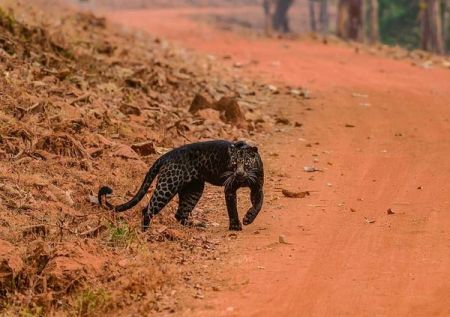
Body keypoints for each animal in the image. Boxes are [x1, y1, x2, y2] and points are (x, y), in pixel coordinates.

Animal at [96, 139, 262, 231]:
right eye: (233, 164)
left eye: (246, 163)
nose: (239, 174)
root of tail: (166, 155)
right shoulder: (229, 189)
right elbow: (232, 208)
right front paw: (236, 226)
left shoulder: (257, 187)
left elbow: (258, 204)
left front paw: (248, 218)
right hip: (168, 186)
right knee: (147, 210)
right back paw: (146, 233)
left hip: (194, 189)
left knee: (180, 213)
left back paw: (197, 226)